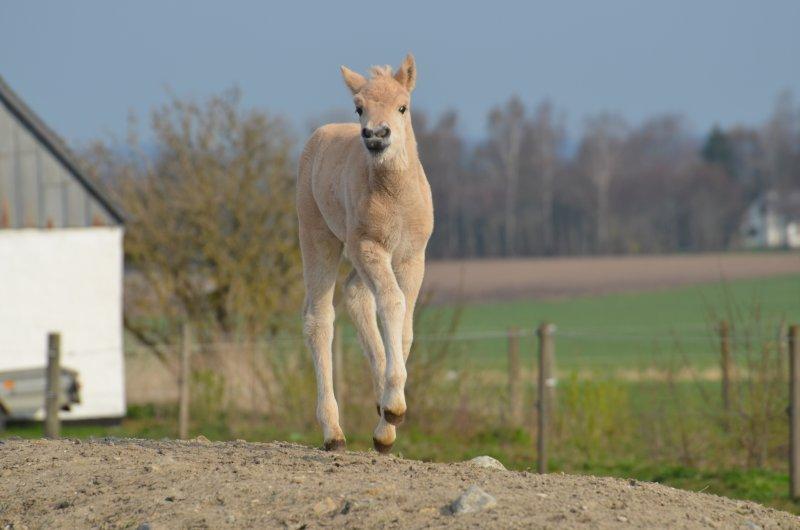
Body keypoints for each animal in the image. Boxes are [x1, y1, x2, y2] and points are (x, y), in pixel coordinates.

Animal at [296, 52, 432, 450]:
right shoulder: (370, 248)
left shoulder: (412, 257)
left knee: (355, 295)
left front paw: (387, 416)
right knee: (320, 318)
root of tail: (322, 133)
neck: (394, 197)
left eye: (403, 107)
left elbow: (405, 327)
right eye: (359, 108)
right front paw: (394, 411)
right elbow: (392, 303)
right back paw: (333, 432)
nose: (375, 135)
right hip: (318, 236)